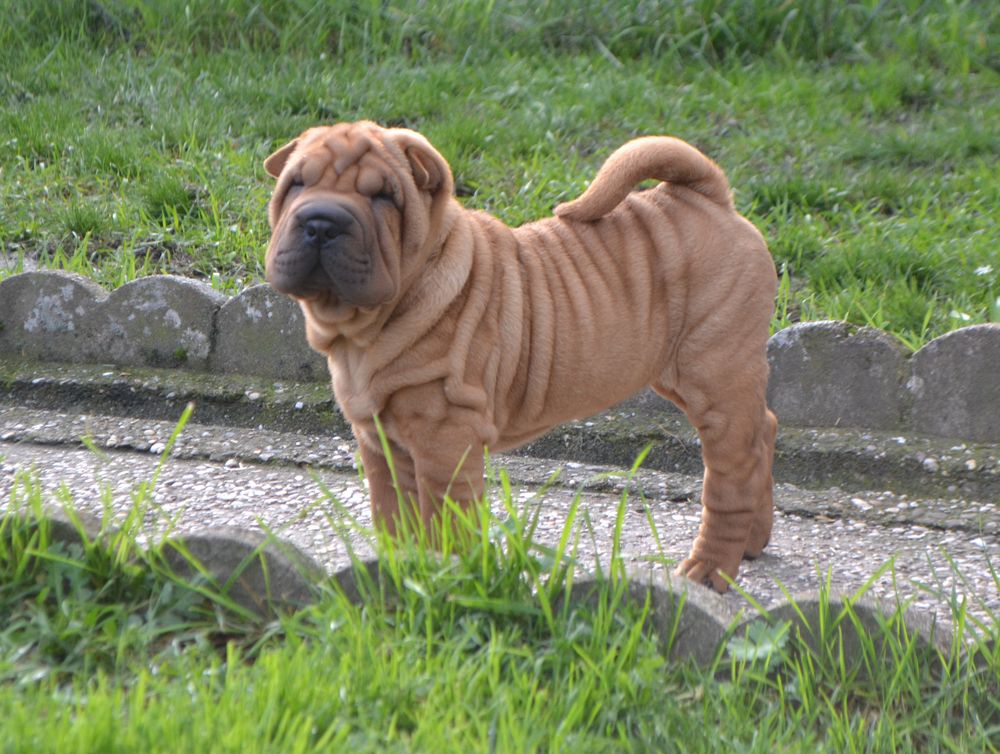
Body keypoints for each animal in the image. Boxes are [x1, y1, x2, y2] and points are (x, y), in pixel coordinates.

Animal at [262, 120, 776, 592]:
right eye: (297, 183)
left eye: (384, 197)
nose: (322, 222)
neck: (368, 326)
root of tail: (710, 197)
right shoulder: (380, 442)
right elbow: (392, 514)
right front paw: (399, 567)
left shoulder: (446, 441)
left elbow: (449, 521)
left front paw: (452, 576)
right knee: (763, 429)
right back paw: (754, 542)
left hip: (713, 373)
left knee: (731, 473)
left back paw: (710, 570)